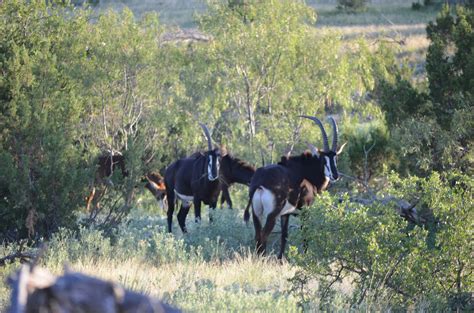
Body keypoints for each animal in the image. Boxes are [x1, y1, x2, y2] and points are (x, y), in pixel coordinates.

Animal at [246, 116, 346, 258]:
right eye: (323, 159)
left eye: (335, 158)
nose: (335, 175)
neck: (303, 171)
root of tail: (260, 181)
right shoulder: (305, 210)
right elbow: (305, 234)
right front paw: (305, 257)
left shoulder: (285, 214)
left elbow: (284, 236)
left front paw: (280, 259)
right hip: (272, 214)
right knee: (264, 235)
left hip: (256, 213)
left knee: (257, 235)